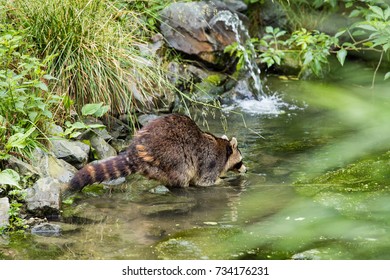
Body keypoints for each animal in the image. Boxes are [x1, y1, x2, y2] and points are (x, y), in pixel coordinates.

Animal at [69, 112, 247, 191]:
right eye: (240, 161)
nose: (246, 170)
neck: (223, 147)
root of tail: (137, 150)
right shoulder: (211, 162)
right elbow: (205, 181)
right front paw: (222, 181)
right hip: (173, 156)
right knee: (183, 173)